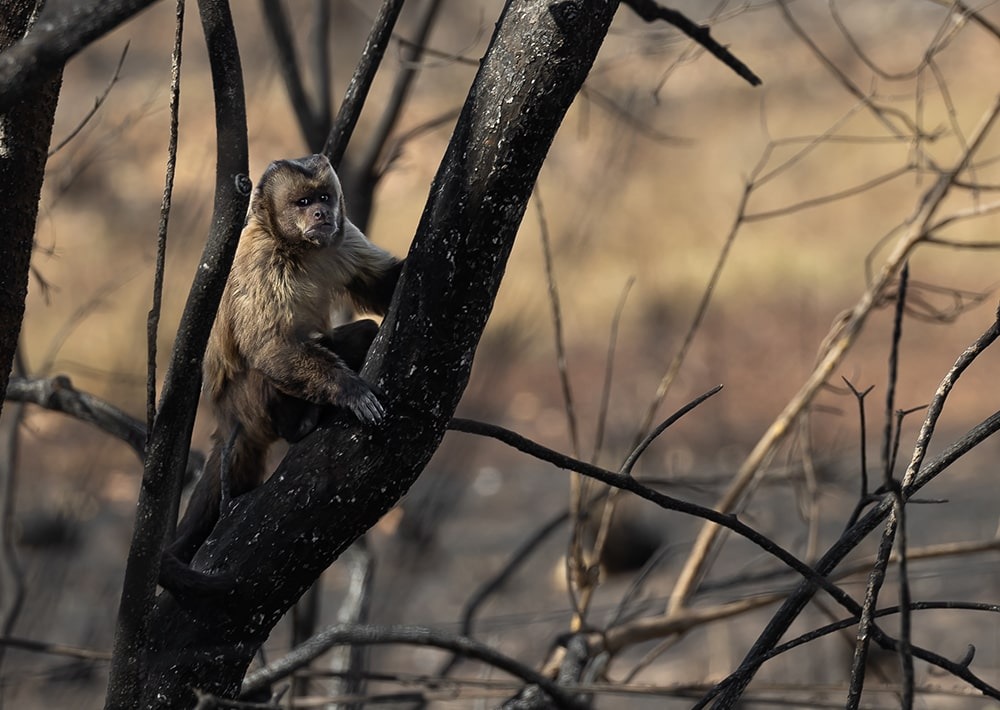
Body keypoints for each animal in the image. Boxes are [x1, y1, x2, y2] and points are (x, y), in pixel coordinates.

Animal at [160, 153, 402, 596]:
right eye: (302, 202)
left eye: (324, 198)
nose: (322, 213)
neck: (297, 248)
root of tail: (226, 417)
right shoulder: (261, 261)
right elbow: (268, 347)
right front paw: (348, 390)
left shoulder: (344, 236)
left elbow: (382, 286)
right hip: (247, 404)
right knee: (265, 367)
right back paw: (298, 425)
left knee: (363, 332)